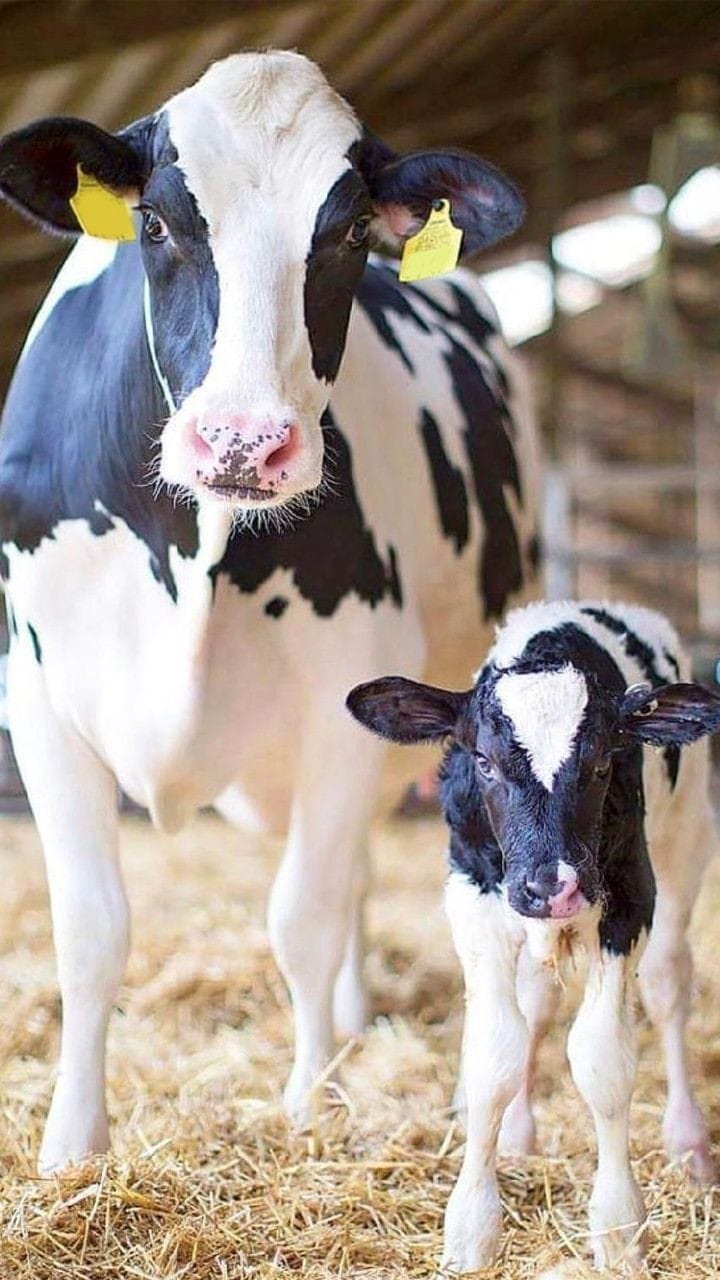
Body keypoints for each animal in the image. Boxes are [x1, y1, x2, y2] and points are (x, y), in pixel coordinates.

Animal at [0, 51, 539, 1173]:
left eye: (352, 233)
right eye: (156, 222)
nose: (244, 441)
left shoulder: (348, 700)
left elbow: (305, 918)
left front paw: (312, 1100)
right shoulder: (37, 696)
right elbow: (90, 929)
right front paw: (72, 1145)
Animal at [347, 599, 719, 1272]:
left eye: (601, 764)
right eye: (485, 762)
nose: (553, 886)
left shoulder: (629, 901)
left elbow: (602, 1060)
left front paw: (619, 1228)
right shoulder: (474, 897)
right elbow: (494, 1054)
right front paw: (471, 1229)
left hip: (687, 845)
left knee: (668, 986)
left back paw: (690, 1143)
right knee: (537, 1004)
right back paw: (520, 1133)